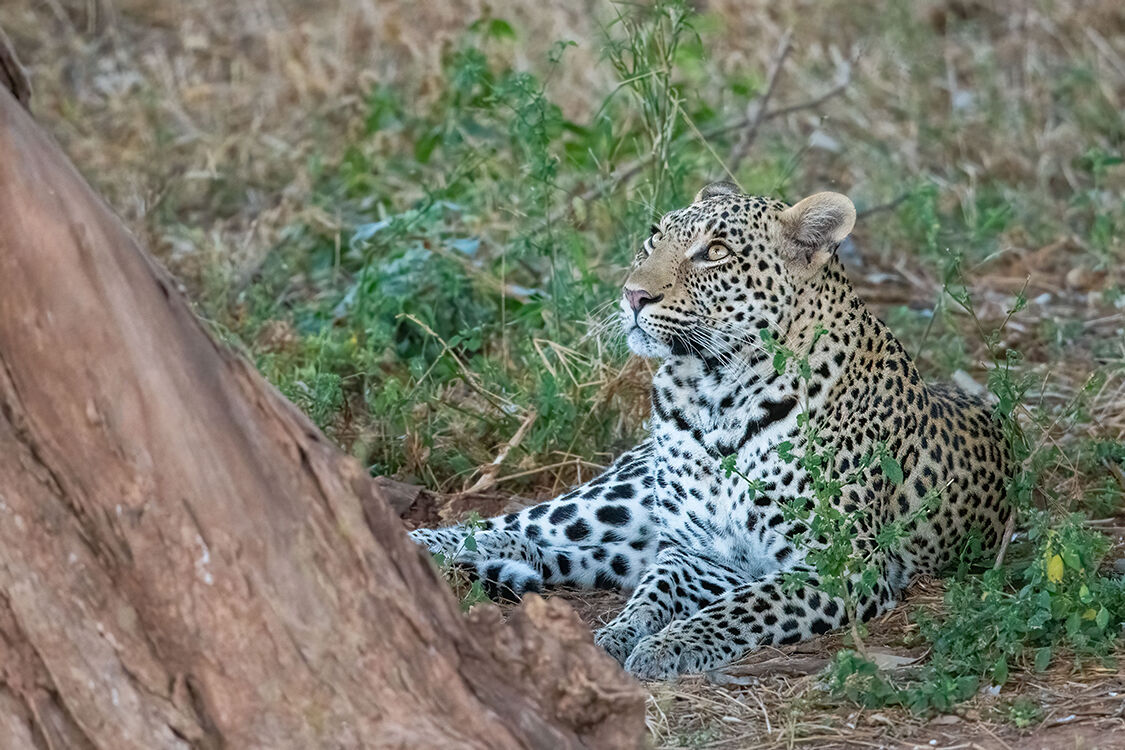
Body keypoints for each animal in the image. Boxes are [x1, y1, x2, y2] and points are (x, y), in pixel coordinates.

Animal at [409, 182, 1010, 680]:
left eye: (716, 252)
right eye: (653, 239)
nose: (632, 295)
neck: (714, 392)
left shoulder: (836, 564)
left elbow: (743, 607)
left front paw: (665, 647)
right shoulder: (700, 552)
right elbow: (653, 592)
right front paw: (622, 635)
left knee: (570, 553)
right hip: (620, 496)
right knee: (517, 524)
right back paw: (419, 547)